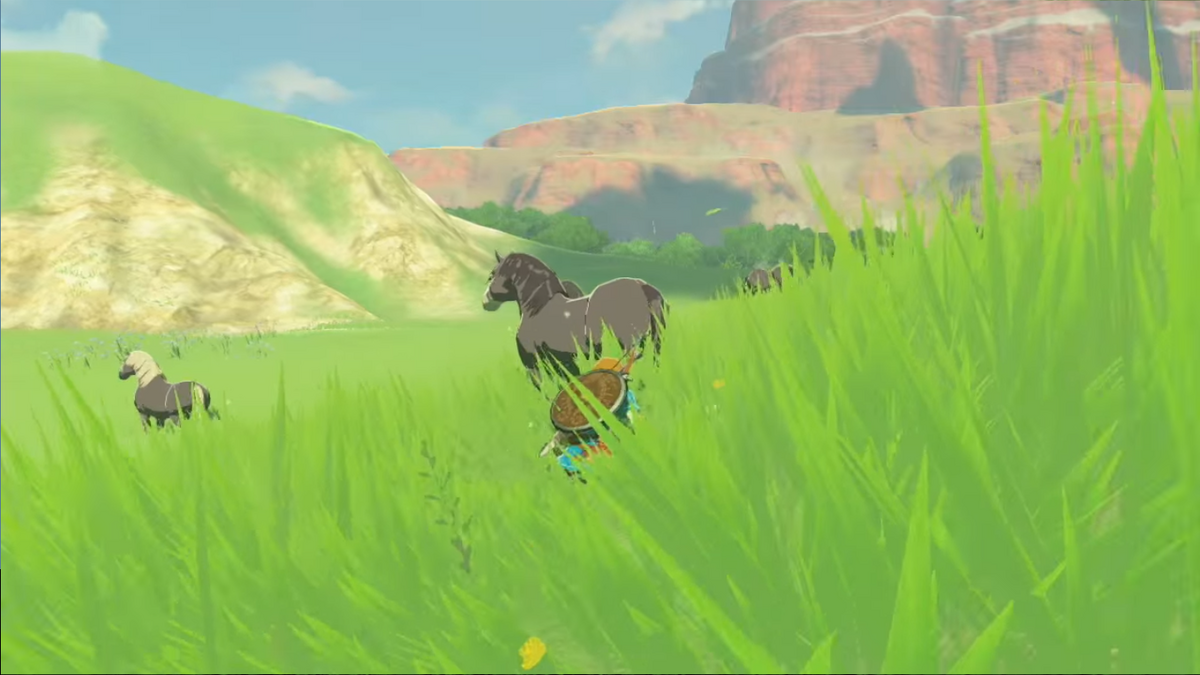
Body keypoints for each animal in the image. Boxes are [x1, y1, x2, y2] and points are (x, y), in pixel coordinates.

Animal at [482, 251, 668, 389]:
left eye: (492, 274)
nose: (485, 301)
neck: (538, 308)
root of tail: (642, 287)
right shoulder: (559, 360)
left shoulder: (533, 360)